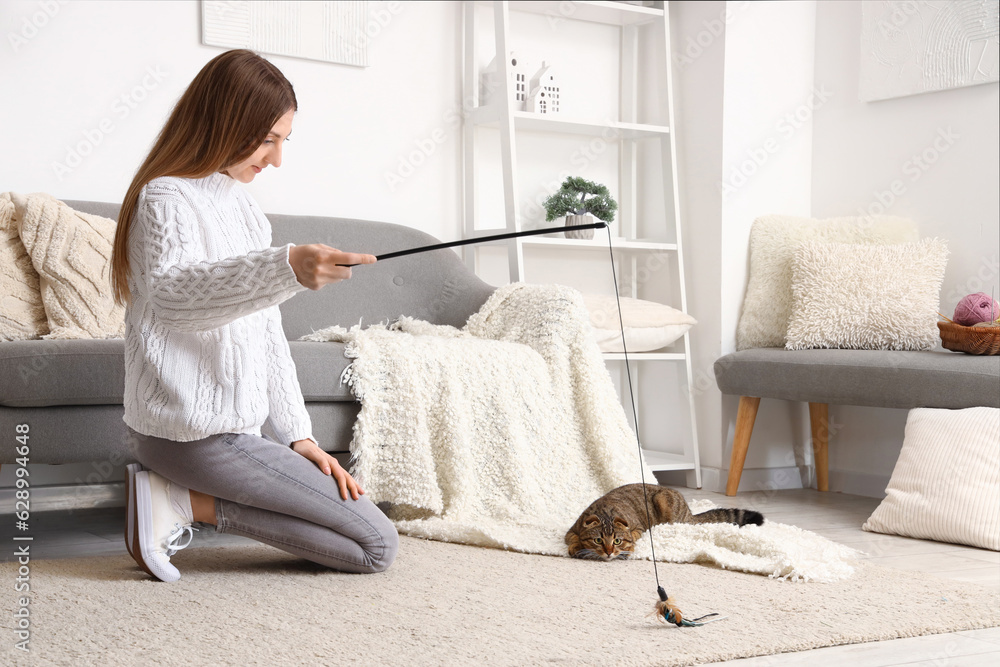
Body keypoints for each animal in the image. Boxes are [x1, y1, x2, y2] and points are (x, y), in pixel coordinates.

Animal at [564, 482, 764, 560]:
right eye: (598, 540)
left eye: (617, 541)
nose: (608, 552)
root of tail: (689, 512)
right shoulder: (571, 530)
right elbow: (573, 538)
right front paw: (576, 547)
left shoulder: (637, 529)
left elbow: (632, 540)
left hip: (664, 502)